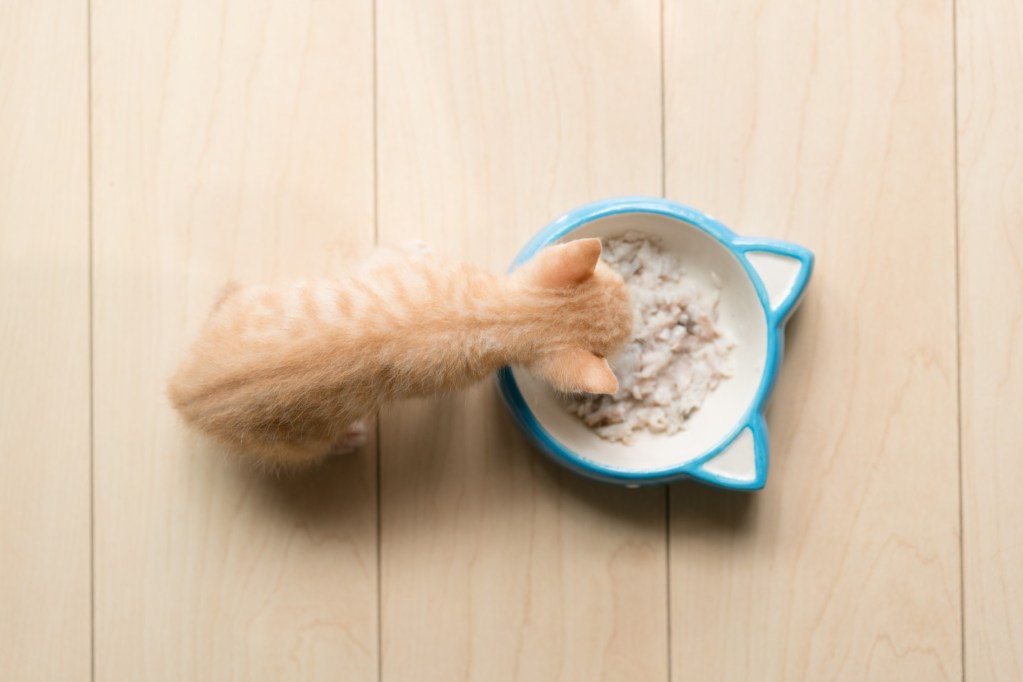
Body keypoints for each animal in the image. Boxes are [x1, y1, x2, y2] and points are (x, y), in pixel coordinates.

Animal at [167, 236, 630, 470]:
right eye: (621, 280)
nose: (635, 314)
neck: (501, 314)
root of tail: (181, 396)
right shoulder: (388, 265)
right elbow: (394, 252)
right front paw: (418, 244)